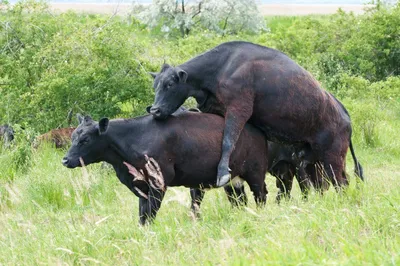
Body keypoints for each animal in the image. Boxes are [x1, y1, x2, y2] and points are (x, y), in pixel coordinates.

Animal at [63, 111, 268, 225]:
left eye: (85, 139)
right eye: (73, 136)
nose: (65, 160)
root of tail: (256, 130)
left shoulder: (159, 182)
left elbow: (151, 212)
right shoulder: (141, 187)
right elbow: (142, 214)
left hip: (255, 173)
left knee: (261, 195)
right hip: (233, 180)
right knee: (239, 200)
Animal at [148, 40, 364, 190]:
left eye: (170, 84)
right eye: (155, 85)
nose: (155, 110)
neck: (222, 66)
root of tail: (345, 116)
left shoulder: (239, 109)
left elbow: (228, 141)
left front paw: (222, 173)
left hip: (332, 157)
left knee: (340, 182)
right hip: (314, 159)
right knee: (326, 183)